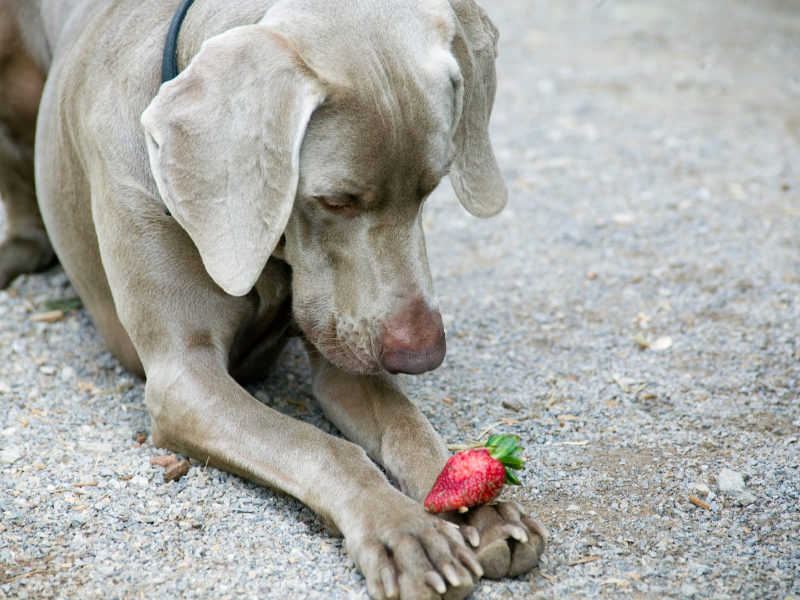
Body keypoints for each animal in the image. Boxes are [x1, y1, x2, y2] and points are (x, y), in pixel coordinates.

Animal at [0, 2, 548, 596]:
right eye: (335, 200)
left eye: (432, 187)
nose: (421, 356)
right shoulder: (184, 379)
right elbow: (321, 447)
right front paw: (404, 528)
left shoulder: (344, 349)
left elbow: (406, 424)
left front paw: (481, 506)